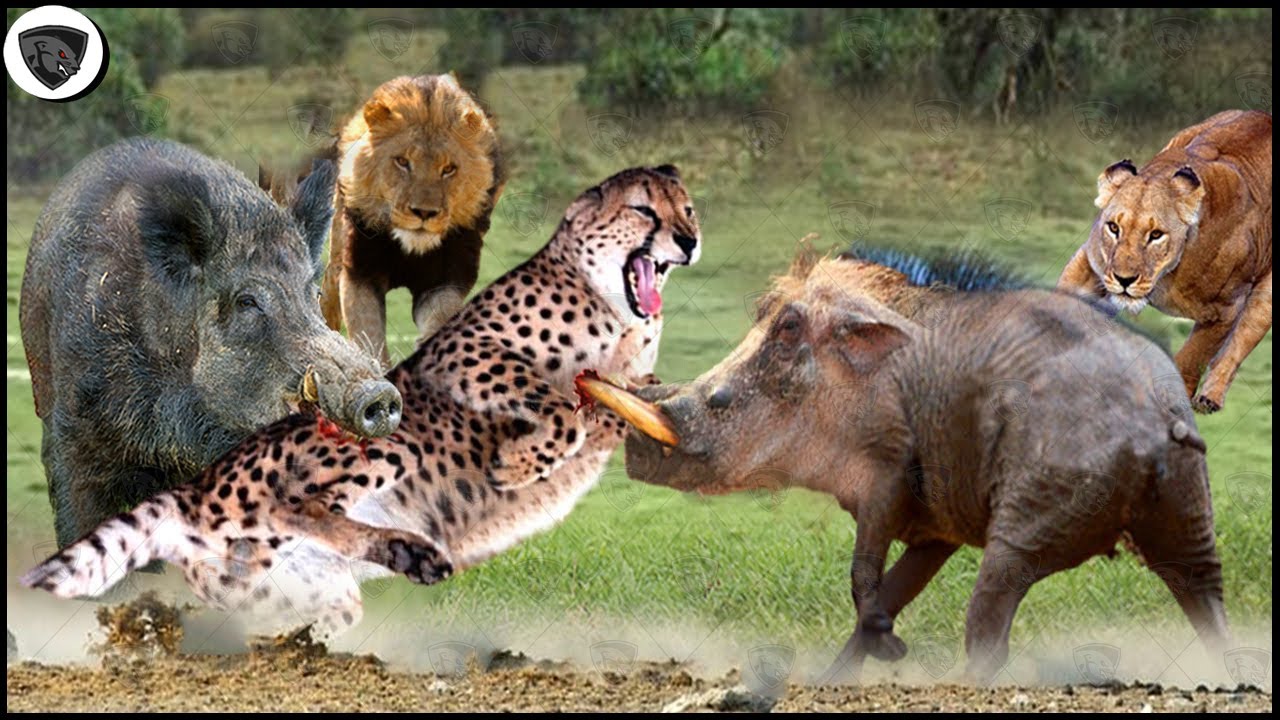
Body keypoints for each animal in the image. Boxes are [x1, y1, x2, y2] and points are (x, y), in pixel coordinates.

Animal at [319, 74, 505, 366]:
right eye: (402, 162)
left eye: (448, 169)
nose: (424, 212)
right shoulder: (360, 271)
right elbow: (368, 335)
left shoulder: (446, 278)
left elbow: (441, 317)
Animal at [1058, 109, 1272, 413]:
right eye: (1113, 228)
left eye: (1156, 234)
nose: (1124, 280)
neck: (1167, 274)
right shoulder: (1089, 264)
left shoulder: (1225, 310)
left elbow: (1190, 360)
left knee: (1237, 346)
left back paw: (1209, 399)